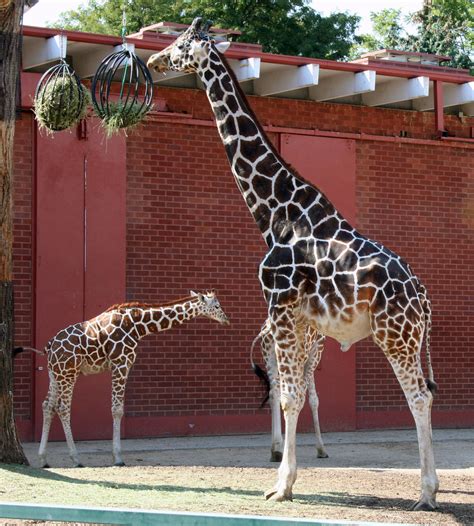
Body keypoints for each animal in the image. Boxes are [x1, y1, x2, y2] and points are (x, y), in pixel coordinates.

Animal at [37, 292, 230, 470]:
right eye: (217, 306)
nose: (227, 320)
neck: (138, 326)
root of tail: (51, 344)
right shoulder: (121, 363)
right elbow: (117, 410)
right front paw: (117, 458)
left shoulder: (121, 365)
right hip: (69, 373)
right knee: (62, 408)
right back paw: (76, 459)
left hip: (54, 374)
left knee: (48, 406)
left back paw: (43, 459)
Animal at [149, 19, 440, 512]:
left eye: (182, 43)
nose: (152, 60)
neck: (275, 214)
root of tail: (422, 295)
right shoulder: (302, 321)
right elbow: (297, 395)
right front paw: (288, 477)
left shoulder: (280, 306)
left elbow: (287, 397)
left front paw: (281, 486)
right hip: (409, 338)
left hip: (394, 335)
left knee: (418, 397)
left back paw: (427, 493)